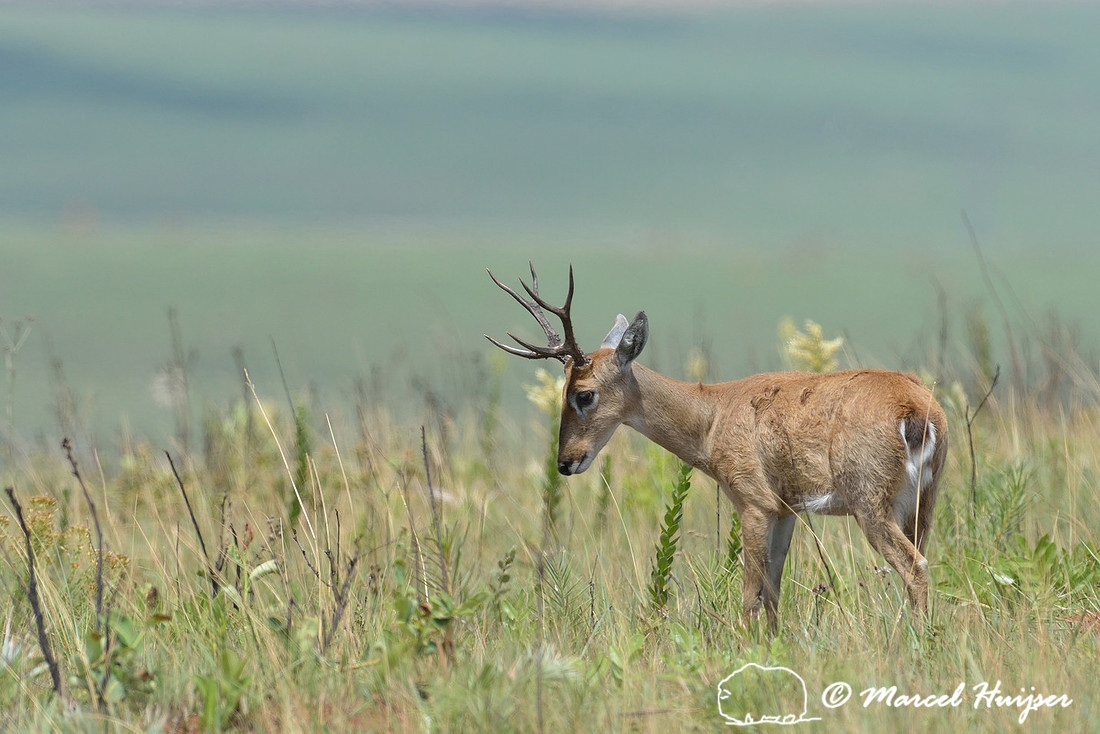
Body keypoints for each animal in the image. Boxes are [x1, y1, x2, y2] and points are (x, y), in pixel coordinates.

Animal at [485, 264, 948, 630]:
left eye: (583, 393)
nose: (566, 462)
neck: (713, 413)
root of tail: (916, 409)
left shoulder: (754, 503)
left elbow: (750, 595)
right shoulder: (786, 510)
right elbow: (773, 592)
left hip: (870, 504)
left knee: (914, 566)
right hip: (921, 504)